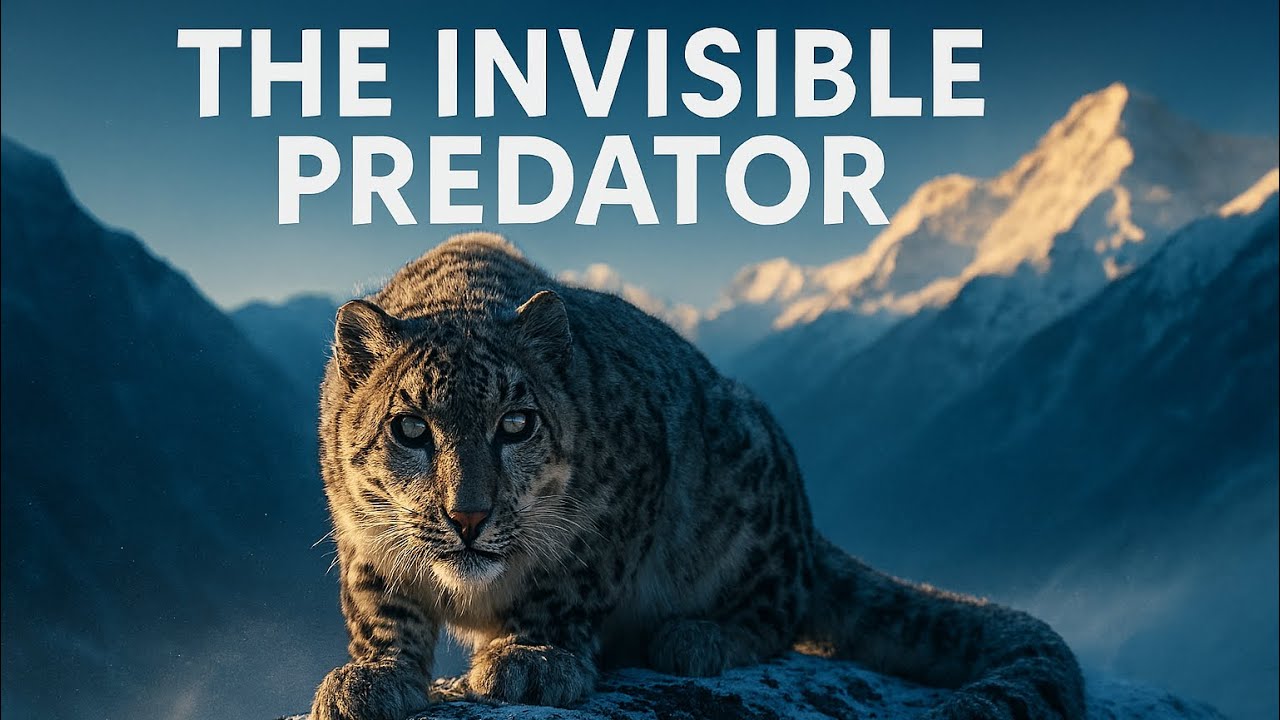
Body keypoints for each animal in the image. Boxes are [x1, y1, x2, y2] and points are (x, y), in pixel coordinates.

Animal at [309, 231, 1085, 720]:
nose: (468, 517)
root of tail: (808, 526)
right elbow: (379, 602)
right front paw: (372, 676)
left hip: (746, 488)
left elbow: (571, 583)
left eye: (516, 423)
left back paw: (695, 637)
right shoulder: (359, 534)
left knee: (781, 611)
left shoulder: (625, 493)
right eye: (412, 428)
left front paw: (531, 656)